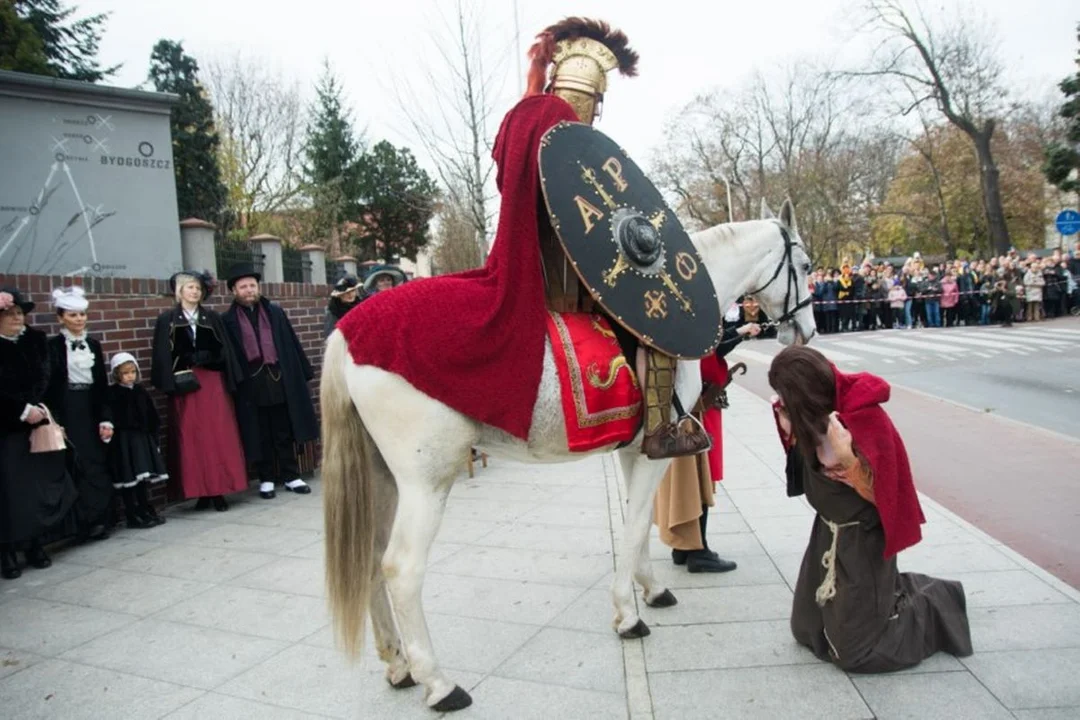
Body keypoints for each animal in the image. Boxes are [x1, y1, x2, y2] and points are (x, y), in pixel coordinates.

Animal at [324, 199, 812, 712]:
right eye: (804, 266)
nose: (808, 329)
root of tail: (347, 332)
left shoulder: (632, 451)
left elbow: (637, 522)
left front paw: (650, 588)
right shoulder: (656, 454)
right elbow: (637, 524)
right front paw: (628, 615)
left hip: (382, 476)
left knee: (370, 558)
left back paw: (398, 664)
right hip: (425, 481)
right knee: (400, 568)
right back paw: (438, 682)